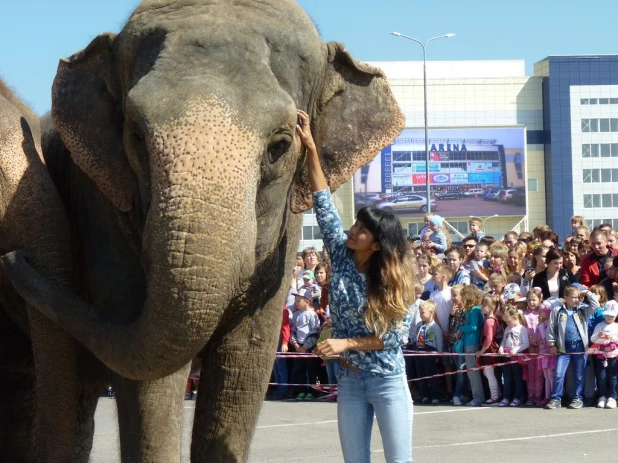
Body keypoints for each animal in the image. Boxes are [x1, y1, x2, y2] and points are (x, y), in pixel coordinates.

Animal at [0, 1, 402, 462]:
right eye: (135, 136)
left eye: (280, 145)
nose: (12, 258)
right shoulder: (102, 213)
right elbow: (152, 376)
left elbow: (246, 361)